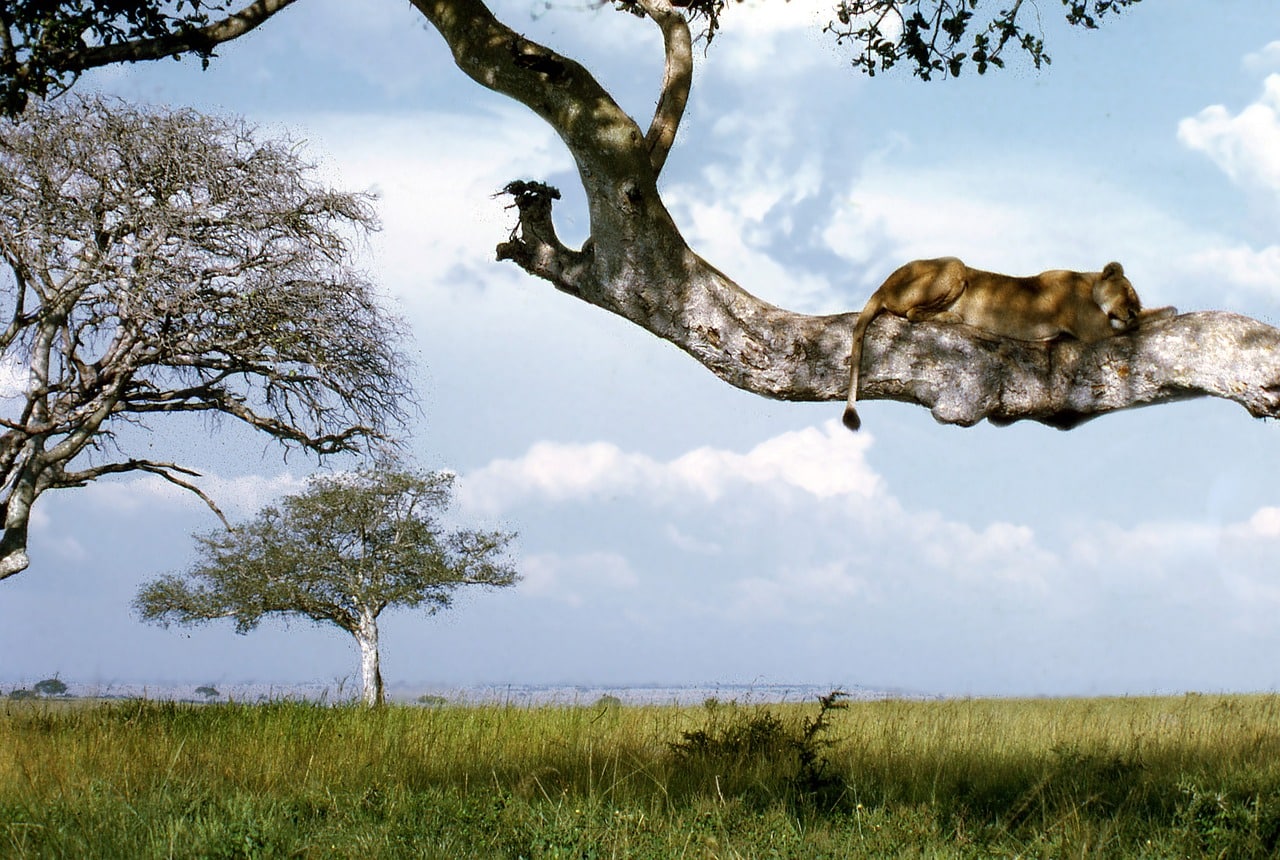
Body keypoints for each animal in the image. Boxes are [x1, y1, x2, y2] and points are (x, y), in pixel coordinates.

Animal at [842, 258, 1176, 431]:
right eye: (1128, 293)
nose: (1131, 310)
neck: (1087, 282)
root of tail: (882, 286)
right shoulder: (1094, 329)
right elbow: (1141, 323)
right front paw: (1168, 311)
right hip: (954, 267)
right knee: (911, 313)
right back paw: (952, 317)